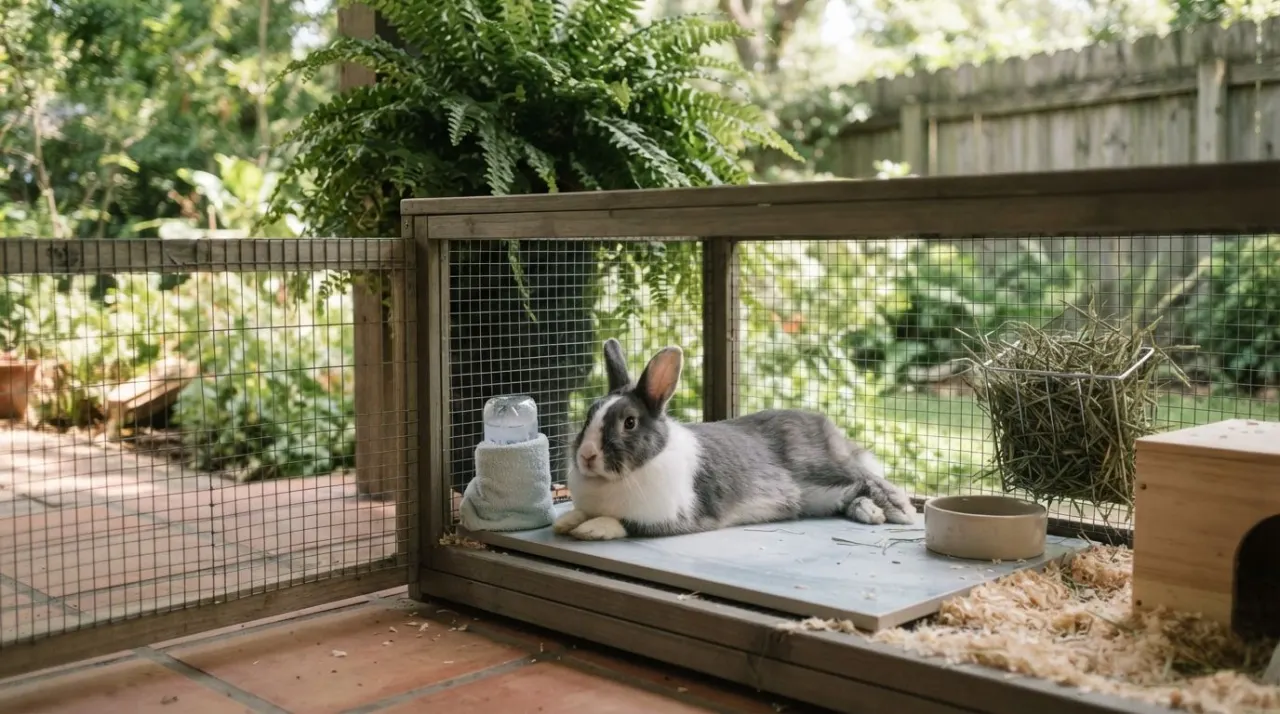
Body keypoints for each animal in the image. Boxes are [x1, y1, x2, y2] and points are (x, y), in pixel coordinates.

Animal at [552, 338, 918, 541]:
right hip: (821, 495)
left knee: (869, 478)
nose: (586, 456)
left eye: (629, 422)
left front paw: (591, 529)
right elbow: (580, 512)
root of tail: (830, 429)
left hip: (824, 467)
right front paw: (566, 522)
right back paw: (870, 512)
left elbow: (622, 522)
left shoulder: (672, 517)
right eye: (589, 414)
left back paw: (900, 512)